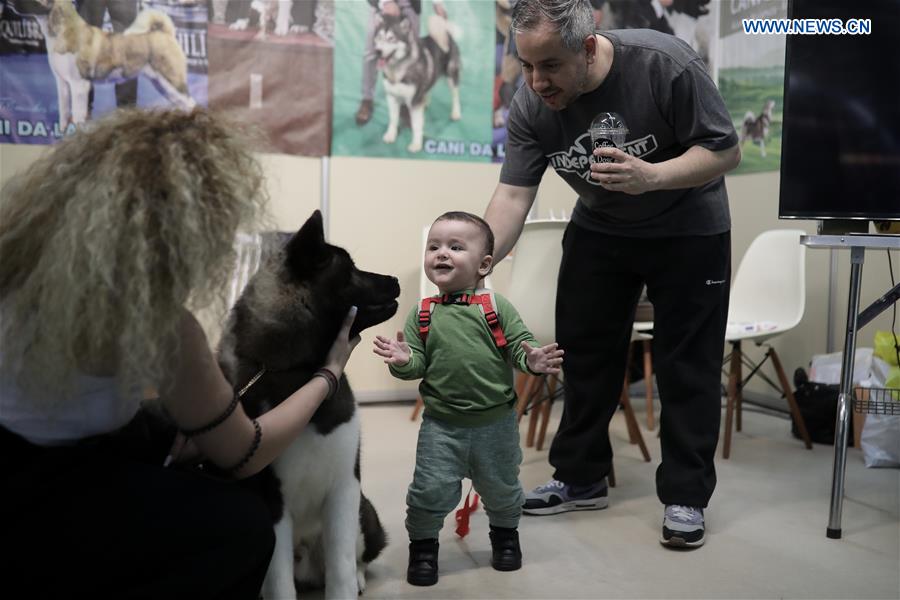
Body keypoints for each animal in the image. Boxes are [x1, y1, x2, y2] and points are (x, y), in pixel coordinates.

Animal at [216, 210, 400, 596]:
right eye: (351, 270)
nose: (393, 279)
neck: (300, 372)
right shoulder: (273, 504)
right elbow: (280, 583)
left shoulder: (345, 488)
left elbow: (341, 570)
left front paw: (349, 585)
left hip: (364, 514)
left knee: (358, 558)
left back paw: (360, 577)